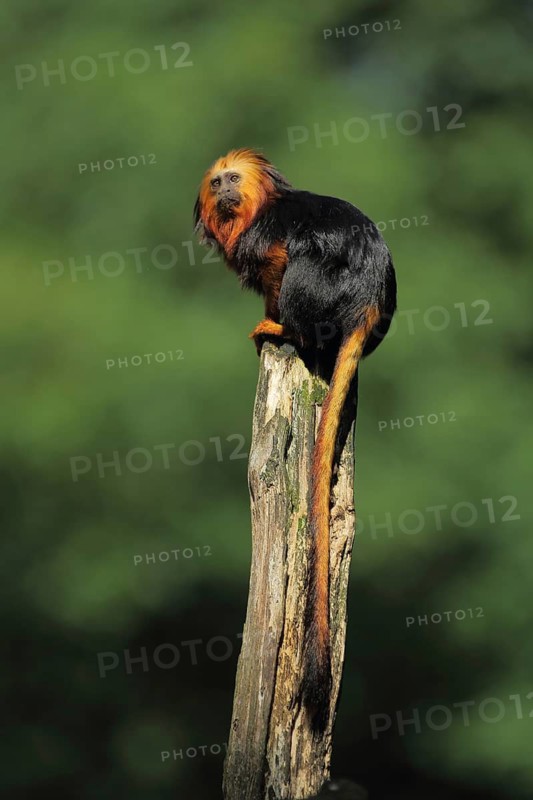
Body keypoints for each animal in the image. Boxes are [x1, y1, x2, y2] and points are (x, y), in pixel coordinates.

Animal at [194, 148, 396, 730]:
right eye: (216, 183)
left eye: (231, 180)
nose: (223, 191)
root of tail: (369, 298)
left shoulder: (266, 240)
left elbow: (281, 260)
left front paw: (274, 322)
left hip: (323, 288)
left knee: (304, 264)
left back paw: (288, 332)